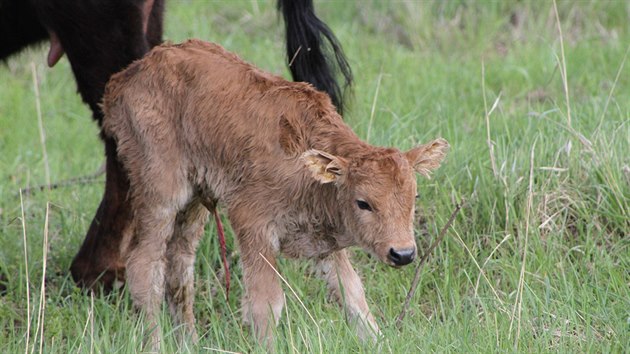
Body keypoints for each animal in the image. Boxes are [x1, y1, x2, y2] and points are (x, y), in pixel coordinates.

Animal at [103, 40, 450, 348]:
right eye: (363, 202)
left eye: (413, 198)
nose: (403, 254)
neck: (309, 171)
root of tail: (125, 78)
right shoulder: (253, 227)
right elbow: (266, 304)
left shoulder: (325, 246)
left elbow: (352, 295)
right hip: (161, 194)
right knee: (145, 266)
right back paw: (155, 344)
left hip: (195, 203)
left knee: (180, 268)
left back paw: (188, 343)